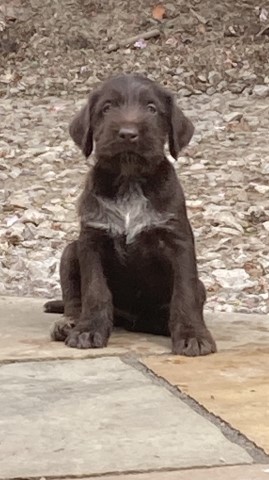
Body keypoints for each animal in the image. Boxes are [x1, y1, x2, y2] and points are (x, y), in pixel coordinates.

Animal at [44, 72, 216, 356]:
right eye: (107, 108)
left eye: (152, 108)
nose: (128, 134)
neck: (129, 179)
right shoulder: (91, 241)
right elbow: (95, 291)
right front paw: (88, 330)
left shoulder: (178, 242)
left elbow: (185, 294)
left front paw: (193, 335)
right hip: (70, 251)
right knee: (73, 298)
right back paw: (69, 323)